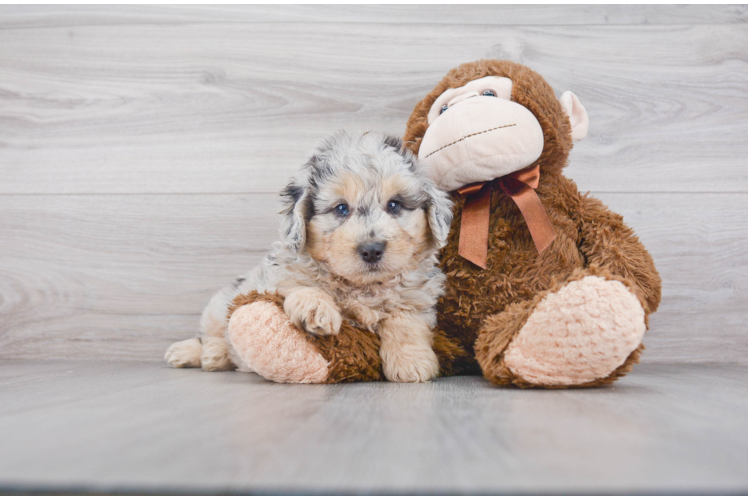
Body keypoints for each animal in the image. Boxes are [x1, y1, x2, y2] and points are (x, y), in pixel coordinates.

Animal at [166, 130, 452, 382]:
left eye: (394, 205)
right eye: (341, 208)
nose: (371, 249)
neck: (364, 287)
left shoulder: (417, 297)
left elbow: (405, 321)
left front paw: (411, 362)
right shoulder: (278, 274)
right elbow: (301, 282)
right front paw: (316, 308)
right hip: (219, 305)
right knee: (211, 334)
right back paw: (200, 353)